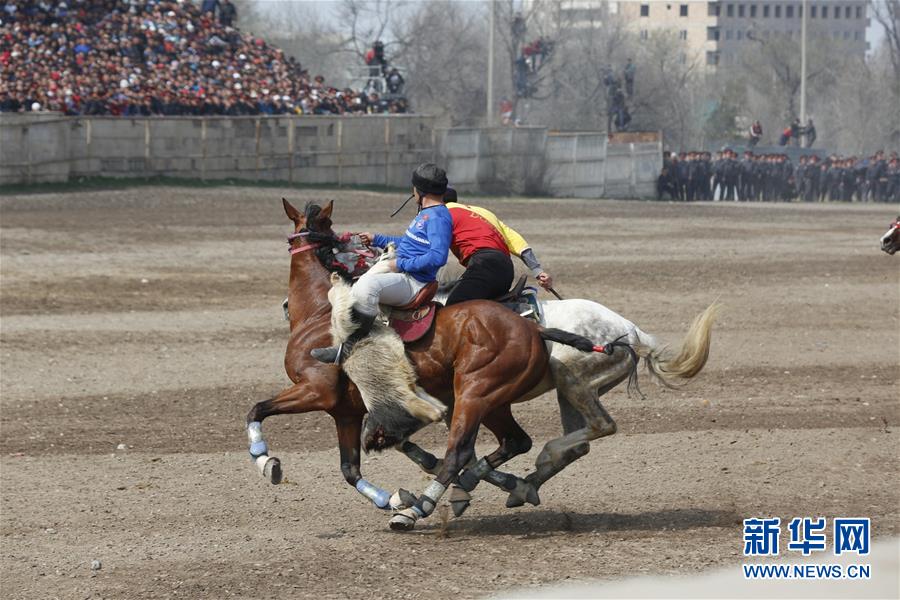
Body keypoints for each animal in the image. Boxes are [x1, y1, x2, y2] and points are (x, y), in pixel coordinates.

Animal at [244, 200, 620, 528]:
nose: (284, 306)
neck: (321, 312)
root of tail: (532, 327)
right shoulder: (345, 412)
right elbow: (351, 469)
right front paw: (392, 497)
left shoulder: (316, 391)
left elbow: (256, 410)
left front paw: (266, 462)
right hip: (495, 400)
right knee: (515, 442)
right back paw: (494, 487)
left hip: (475, 392)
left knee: (461, 451)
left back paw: (419, 510)